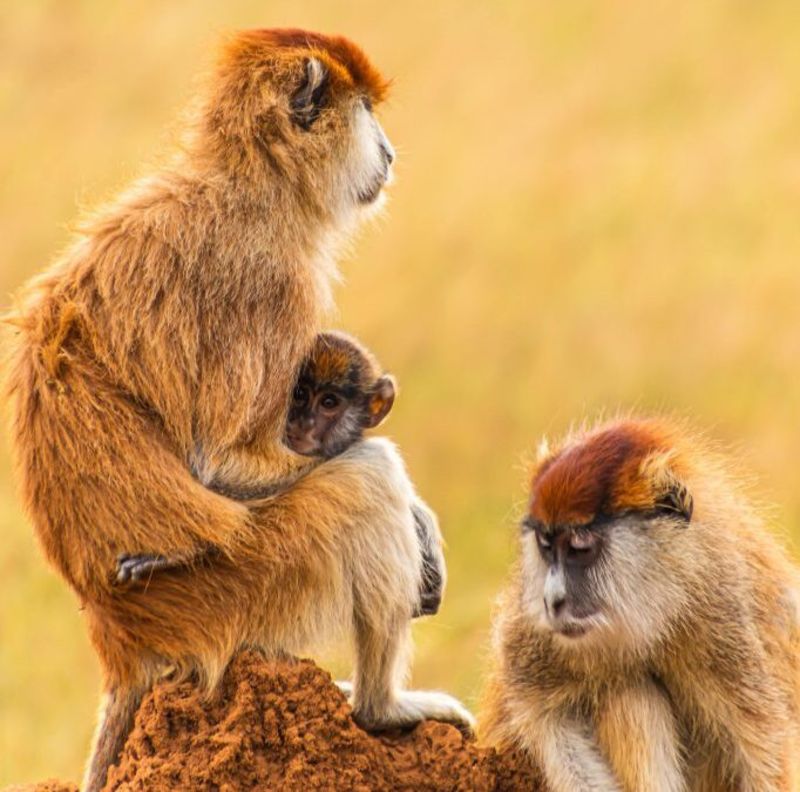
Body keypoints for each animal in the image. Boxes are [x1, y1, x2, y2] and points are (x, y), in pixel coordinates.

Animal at [3, 27, 472, 788]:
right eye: (366, 111)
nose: (390, 153)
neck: (252, 180)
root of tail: (117, 638)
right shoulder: (272, 280)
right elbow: (219, 463)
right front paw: (418, 520)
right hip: (243, 587)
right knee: (367, 480)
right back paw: (380, 710)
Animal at [482, 414, 800, 792]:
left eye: (578, 549)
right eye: (547, 546)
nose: (552, 599)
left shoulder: (723, 616)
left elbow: (765, 754)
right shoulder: (537, 635)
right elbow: (545, 714)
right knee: (627, 689)